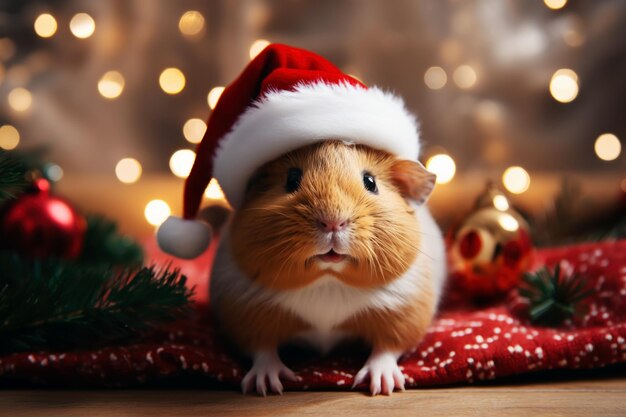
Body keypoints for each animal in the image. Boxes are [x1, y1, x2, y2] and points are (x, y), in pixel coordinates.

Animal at [210, 139, 444, 394]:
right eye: (291, 179)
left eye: (370, 182)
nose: (333, 222)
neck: (328, 282)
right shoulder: (247, 313)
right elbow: (263, 350)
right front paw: (267, 386)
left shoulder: (403, 312)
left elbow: (387, 348)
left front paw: (382, 386)